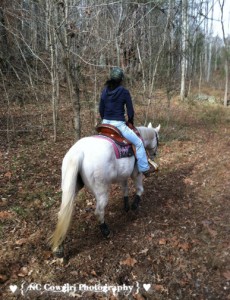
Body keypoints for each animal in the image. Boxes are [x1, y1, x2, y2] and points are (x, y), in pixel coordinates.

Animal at [49, 122, 160, 255]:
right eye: (158, 139)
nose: (154, 155)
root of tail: (79, 153)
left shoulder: (123, 175)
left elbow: (125, 189)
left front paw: (126, 206)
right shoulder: (136, 173)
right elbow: (139, 189)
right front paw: (134, 205)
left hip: (70, 188)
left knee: (63, 213)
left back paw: (58, 247)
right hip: (101, 191)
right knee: (99, 211)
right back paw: (106, 231)